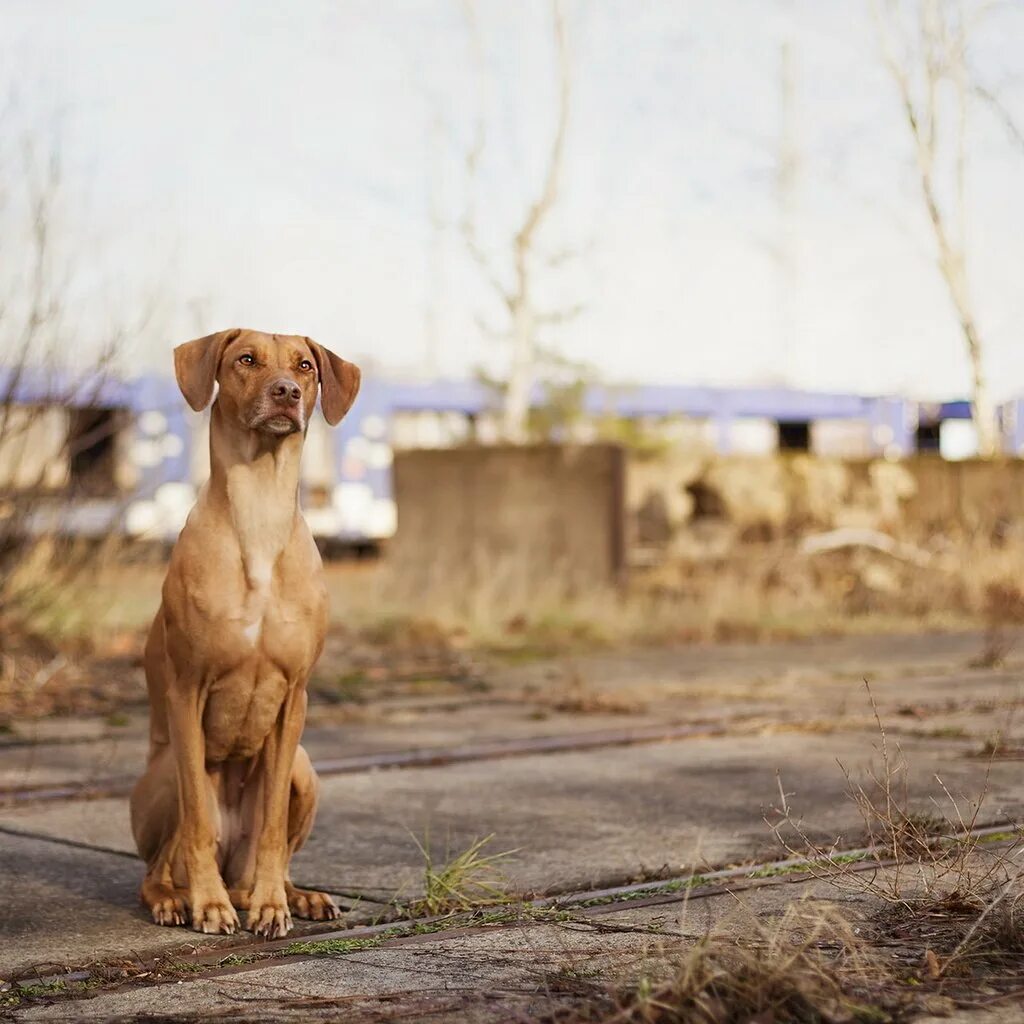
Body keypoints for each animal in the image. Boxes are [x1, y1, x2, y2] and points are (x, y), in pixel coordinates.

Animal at [130, 327, 360, 937]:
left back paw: (290, 894)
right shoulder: (187, 691)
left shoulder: (294, 697)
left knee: (265, 850)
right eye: (246, 359)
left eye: (305, 366)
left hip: (304, 766)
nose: (286, 393)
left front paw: (272, 905)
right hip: (165, 772)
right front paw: (208, 905)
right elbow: (197, 823)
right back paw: (179, 898)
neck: (259, 515)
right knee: (162, 862)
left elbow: (274, 827)